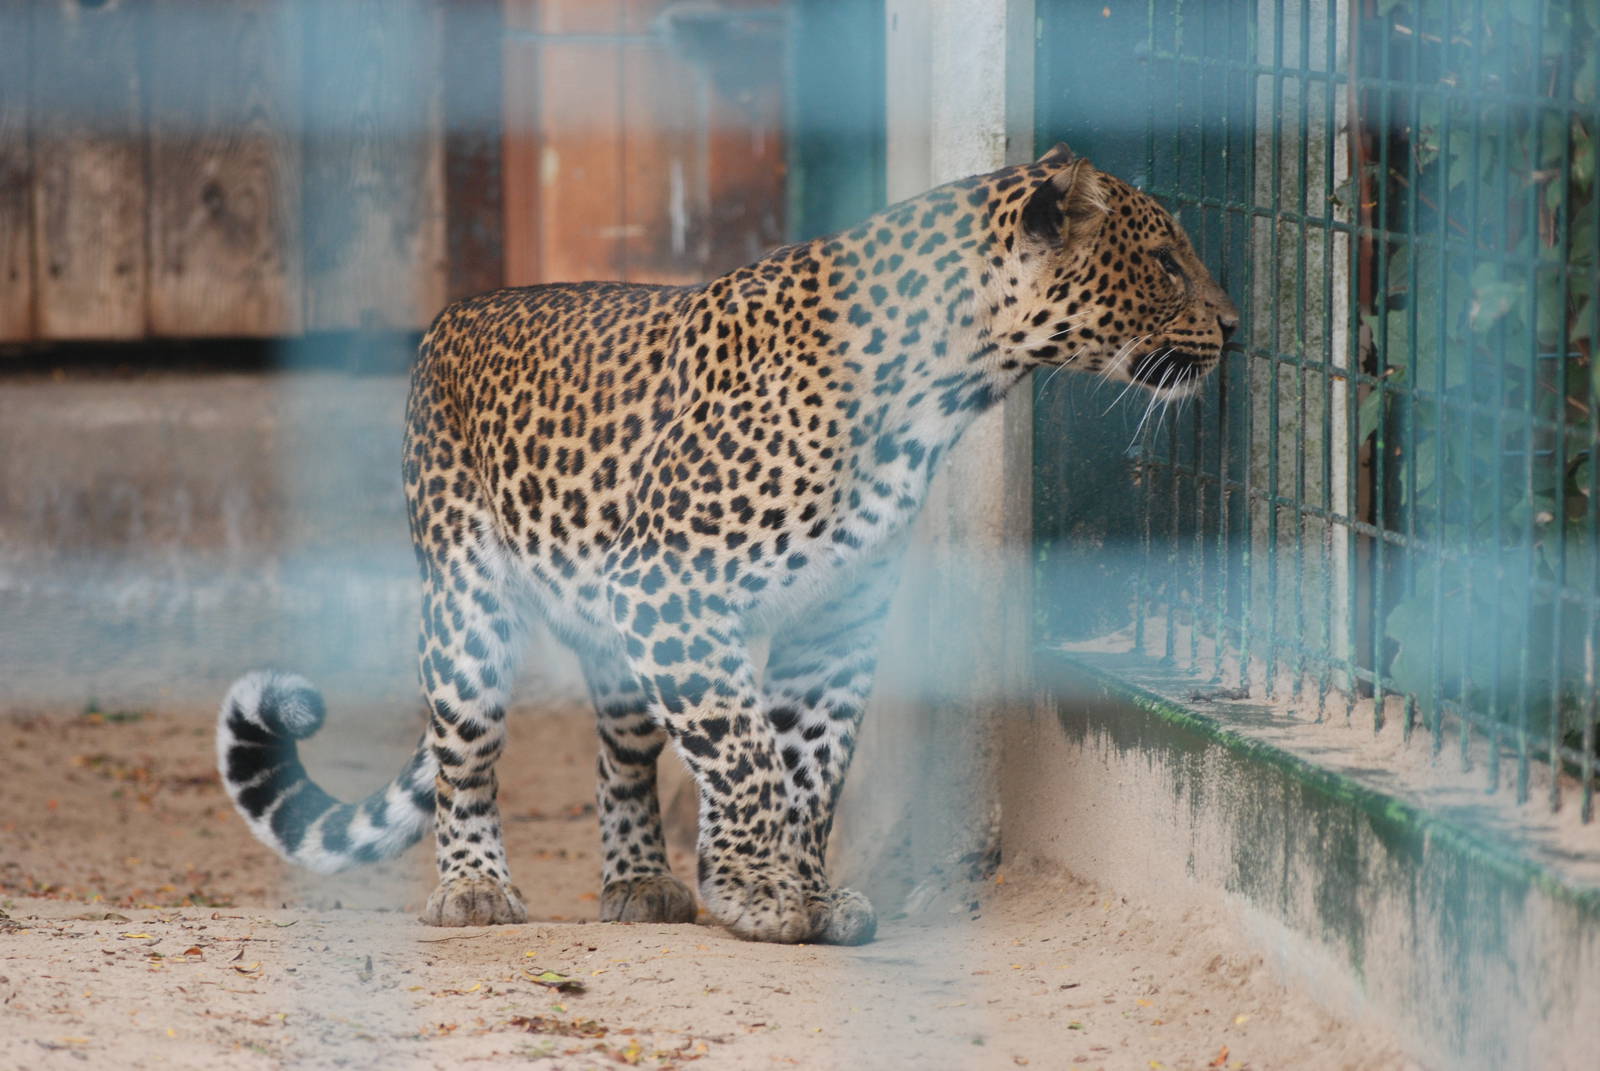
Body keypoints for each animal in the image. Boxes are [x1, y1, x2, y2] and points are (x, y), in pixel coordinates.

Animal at [216, 143, 1238, 946]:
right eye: (1164, 260)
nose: (1233, 326)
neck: (949, 385)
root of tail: (457, 310)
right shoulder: (672, 588)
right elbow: (748, 756)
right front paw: (758, 890)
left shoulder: (833, 617)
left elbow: (809, 765)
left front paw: (793, 889)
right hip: (467, 604)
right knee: (464, 754)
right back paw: (473, 887)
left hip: (614, 637)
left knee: (621, 757)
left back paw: (640, 880)